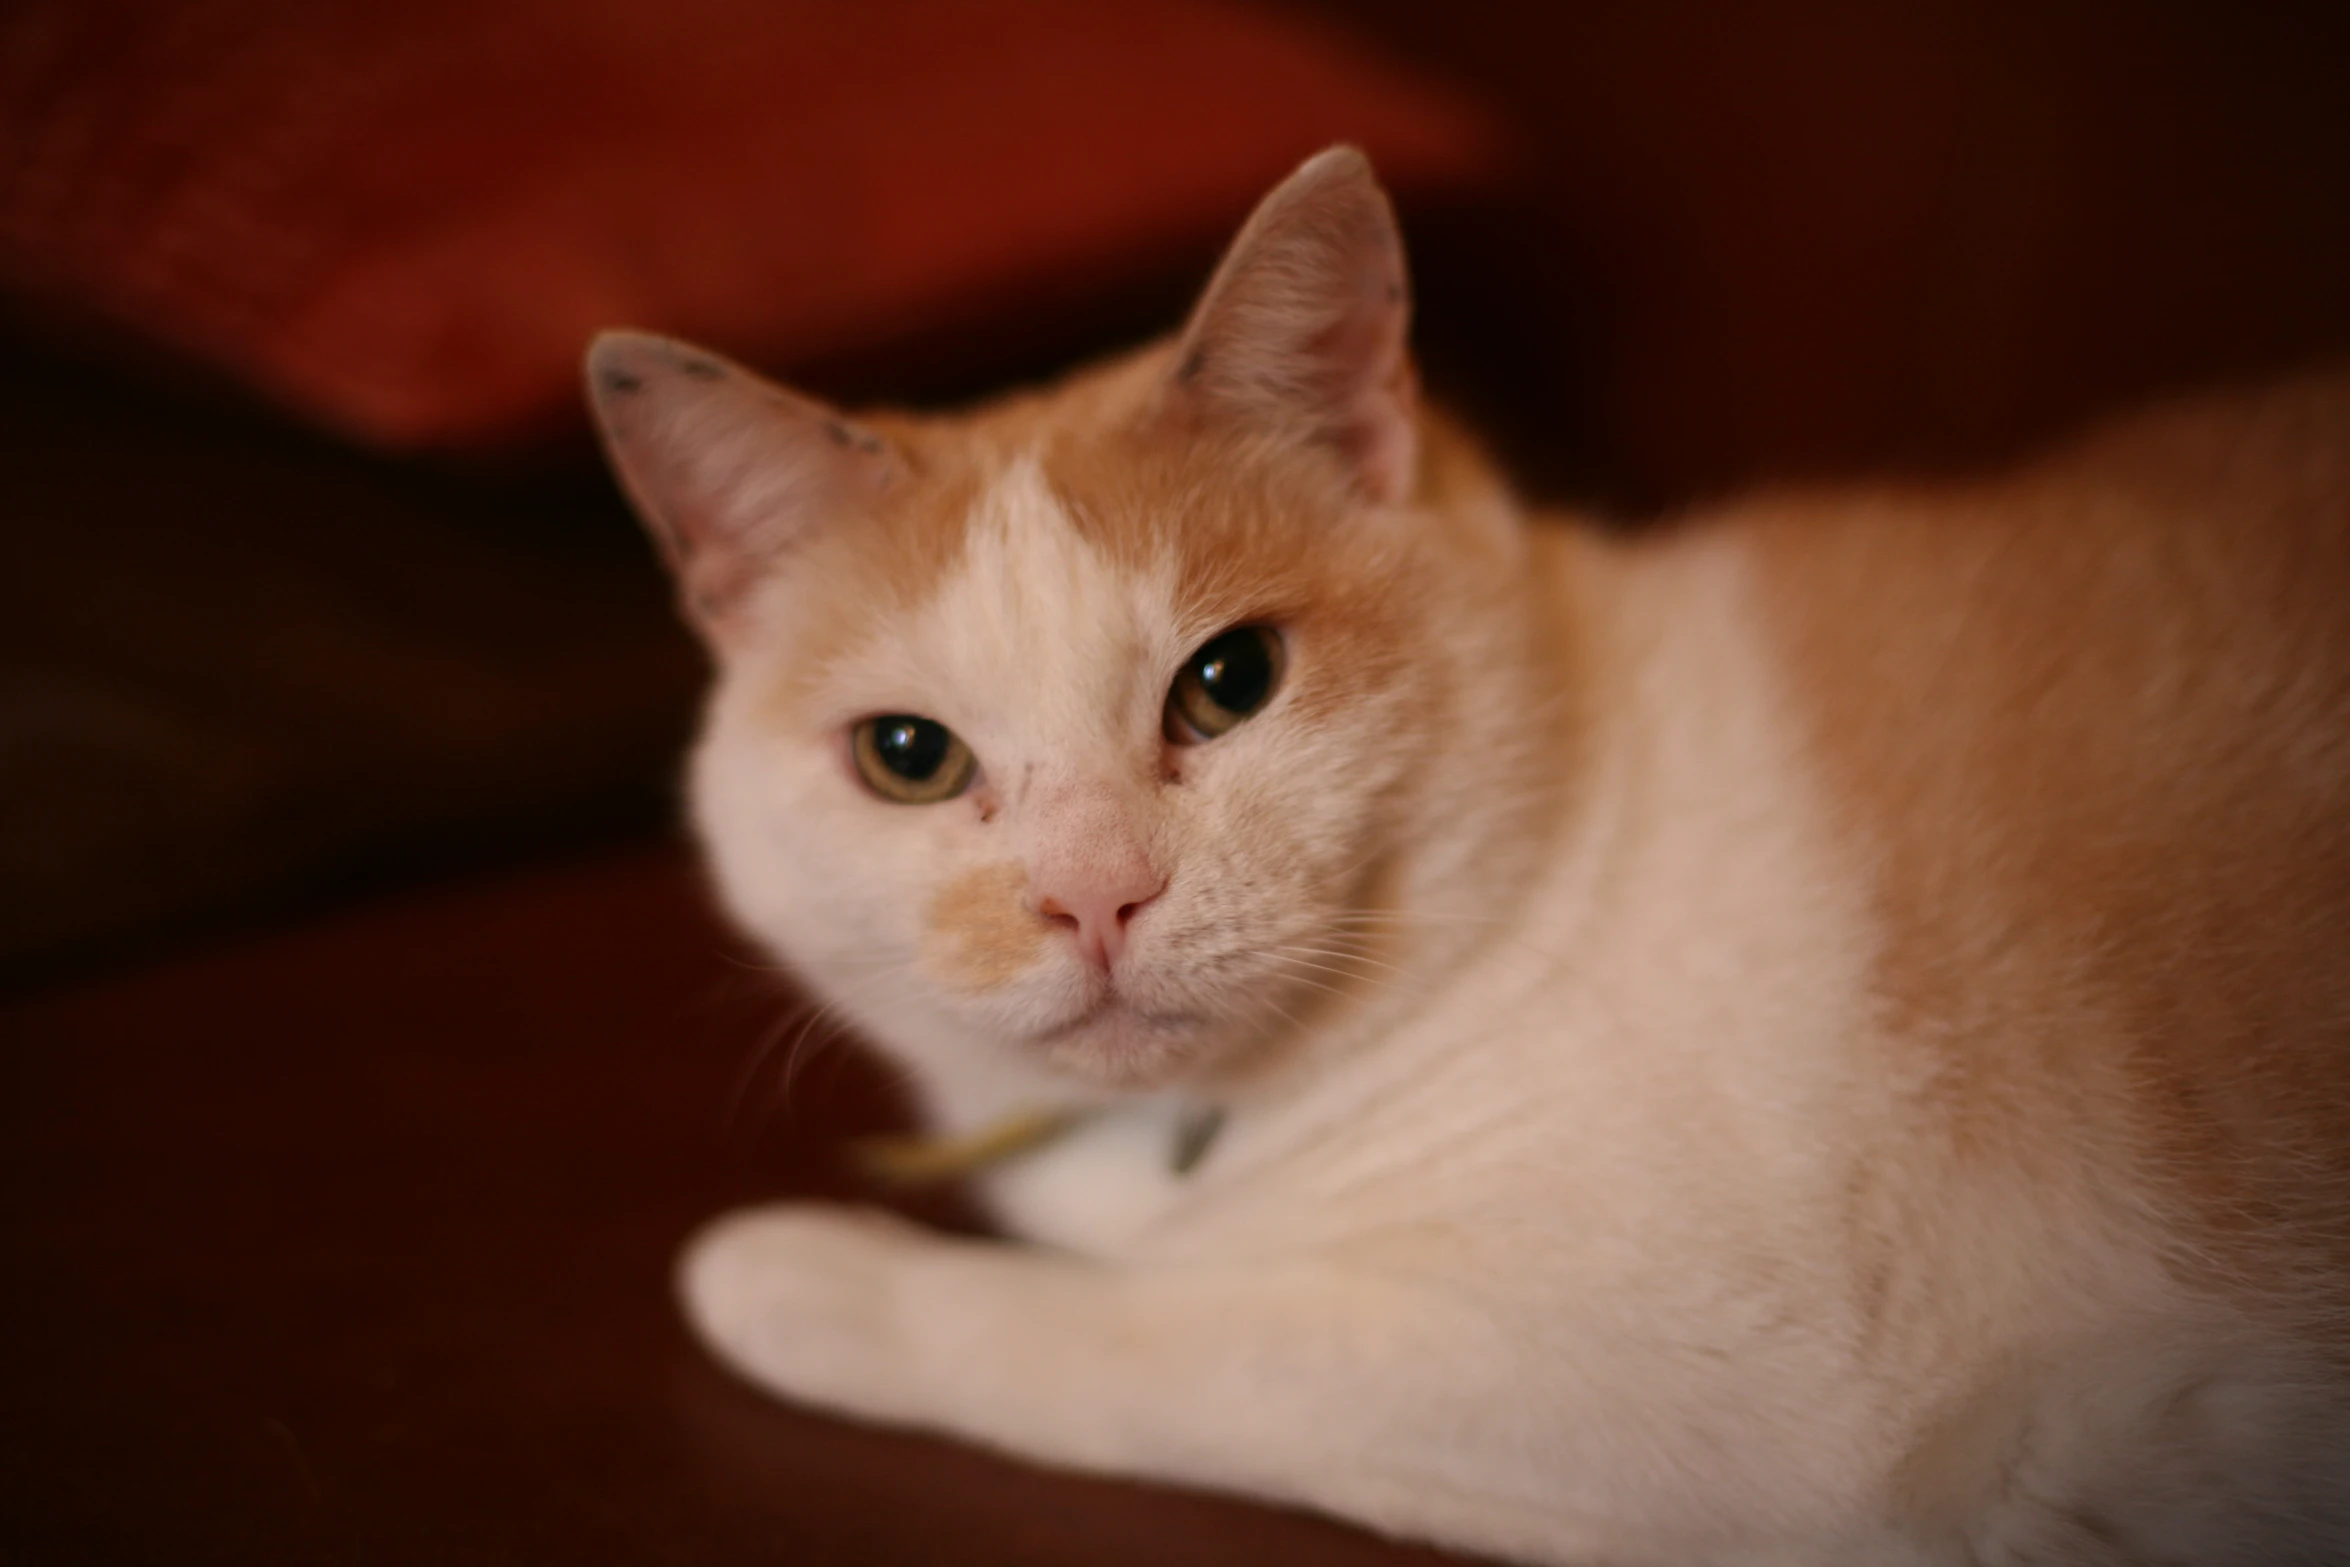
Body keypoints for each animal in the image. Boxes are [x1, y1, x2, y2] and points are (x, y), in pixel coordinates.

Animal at [582, 150, 2350, 1567]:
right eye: (908, 755)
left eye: (1229, 678)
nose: (1092, 894)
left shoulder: (1749, 1416)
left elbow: (1168, 1341)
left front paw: (798, 1274)